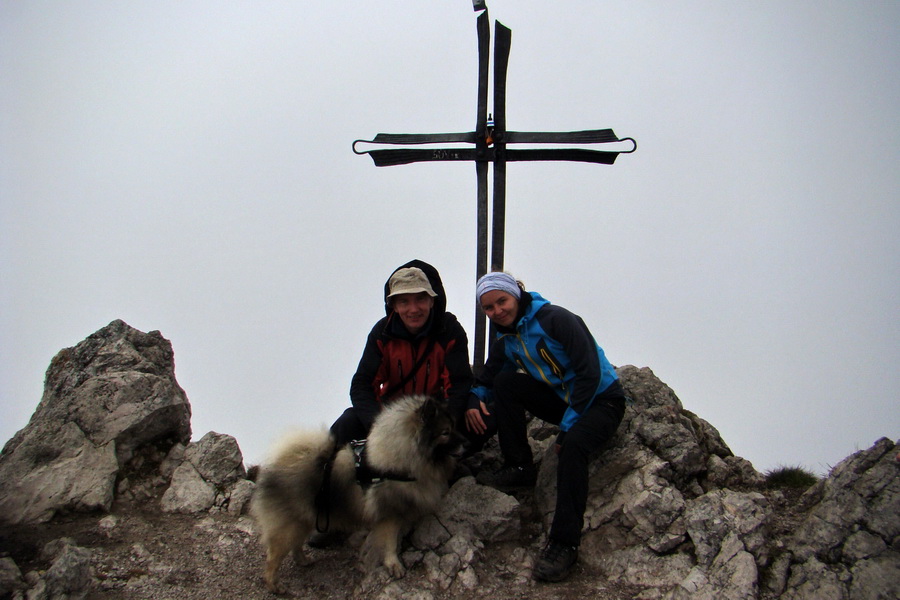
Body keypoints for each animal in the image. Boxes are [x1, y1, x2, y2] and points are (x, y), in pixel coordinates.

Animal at [251, 396, 464, 592]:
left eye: (454, 426)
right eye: (445, 432)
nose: (467, 442)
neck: (399, 458)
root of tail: (278, 466)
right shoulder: (389, 515)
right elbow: (390, 543)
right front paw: (394, 564)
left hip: (304, 519)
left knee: (295, 545)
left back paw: (303, 560)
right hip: (289, 526)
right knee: (273, 558)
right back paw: (275, 586)